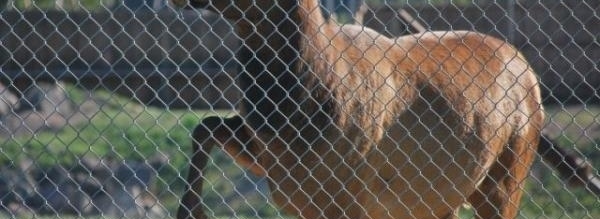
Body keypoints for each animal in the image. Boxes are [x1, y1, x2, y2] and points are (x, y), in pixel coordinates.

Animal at [171, 0, 596, 219]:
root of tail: (528, 72)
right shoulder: (276, 163)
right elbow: (205, 125)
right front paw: (190, 211)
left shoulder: (347, 195)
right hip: (441, 199)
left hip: (506, 174)